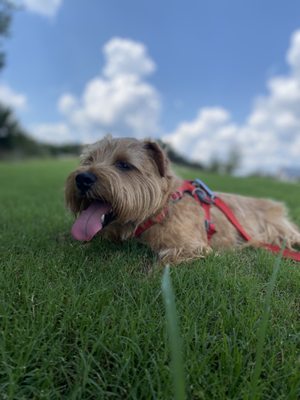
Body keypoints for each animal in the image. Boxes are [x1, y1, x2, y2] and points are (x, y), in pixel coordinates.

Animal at [65, 136, 300, 264]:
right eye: (89, 160)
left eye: (124, 165)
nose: (82, 178)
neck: (162, 209)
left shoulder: (191, 246)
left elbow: (164, 263)